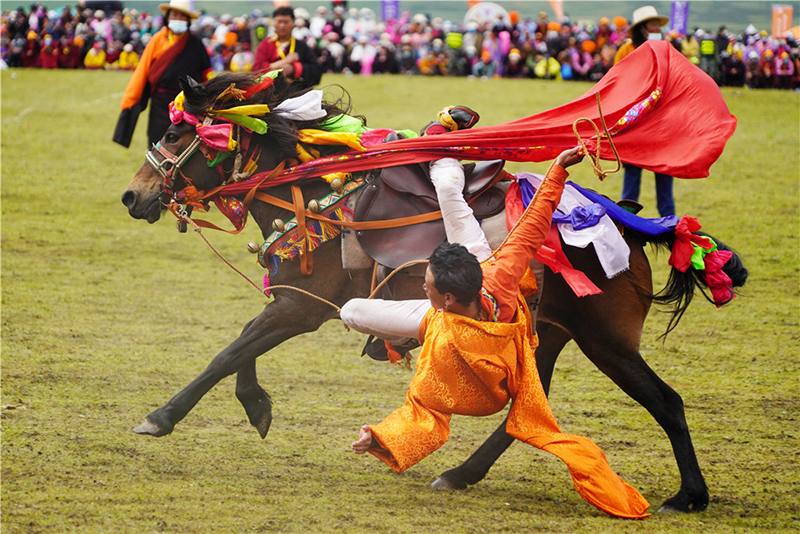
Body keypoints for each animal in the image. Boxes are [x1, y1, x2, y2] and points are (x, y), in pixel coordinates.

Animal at [122, 72, 748, 516]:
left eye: (174, 133)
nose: (132, 196)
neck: (313, 194)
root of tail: (631, 229)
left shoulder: (300, 307)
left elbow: (230, 351)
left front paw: (161, 415)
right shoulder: (295, 301)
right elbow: (243, 352)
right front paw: (256, 405)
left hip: (606, 340)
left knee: (666, 402)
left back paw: (690, 495)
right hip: (546, 333)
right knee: (526, 412)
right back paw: (462, 473)